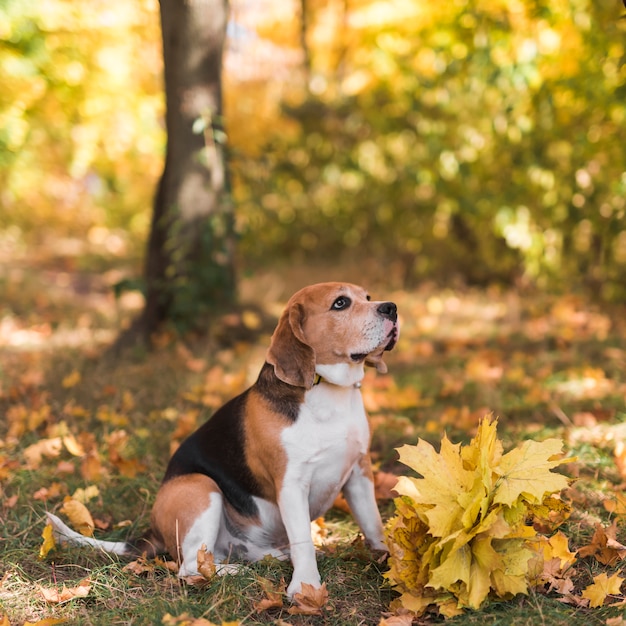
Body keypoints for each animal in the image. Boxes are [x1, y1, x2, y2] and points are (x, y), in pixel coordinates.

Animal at [48, 282, 400, 596]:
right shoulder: (291, 485)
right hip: (201, 487)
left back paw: (270, 557)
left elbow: (373, 523)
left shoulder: (359, 473)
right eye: (340, 303)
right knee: (190, 567)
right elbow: (303, 541)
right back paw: (235, 572)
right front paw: (306, 586)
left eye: (368, 296)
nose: (391, 307)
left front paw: (388, 560)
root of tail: (154, 532)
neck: (328, 392)